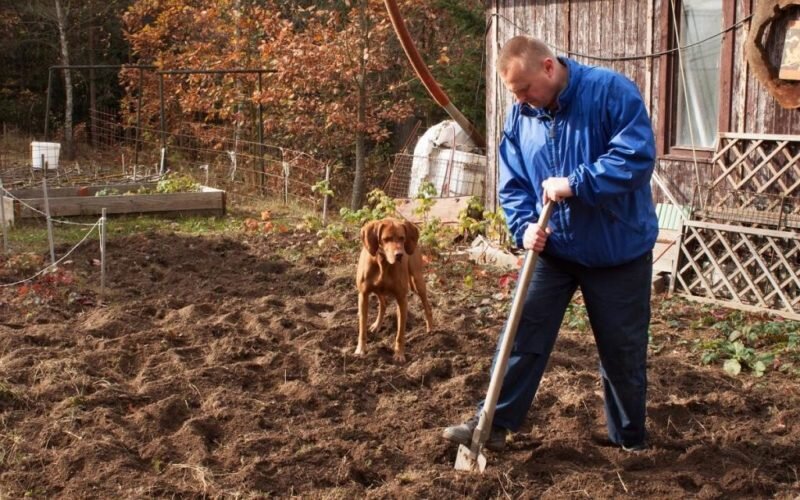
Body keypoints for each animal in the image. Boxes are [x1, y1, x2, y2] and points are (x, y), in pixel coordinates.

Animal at [354, 217, 432, 362]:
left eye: (402, 238)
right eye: (386, 239)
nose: (399, 255)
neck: (383, 262)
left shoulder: (402, 299)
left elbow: (400, 332)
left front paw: (399, 354)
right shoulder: (363, 295)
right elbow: (362, 328)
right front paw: (360, 349)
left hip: (417, 281)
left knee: (427, 306)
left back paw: (431, 330)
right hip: (379, 290)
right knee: (383, 304)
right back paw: (377, 325)